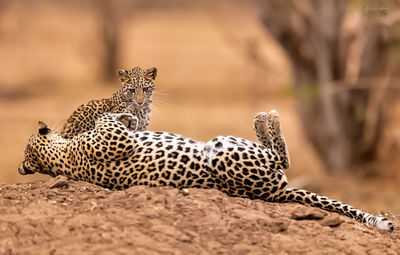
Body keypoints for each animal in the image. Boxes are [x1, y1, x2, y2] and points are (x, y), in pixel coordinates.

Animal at [18, 110, 394, 232]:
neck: (60, 156)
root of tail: (277, 193)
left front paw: (129, 113)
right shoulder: (114, 140)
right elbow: (108, 121)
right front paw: (123, 114)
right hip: (226, 150)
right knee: (281, 156)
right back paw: (266, 118)